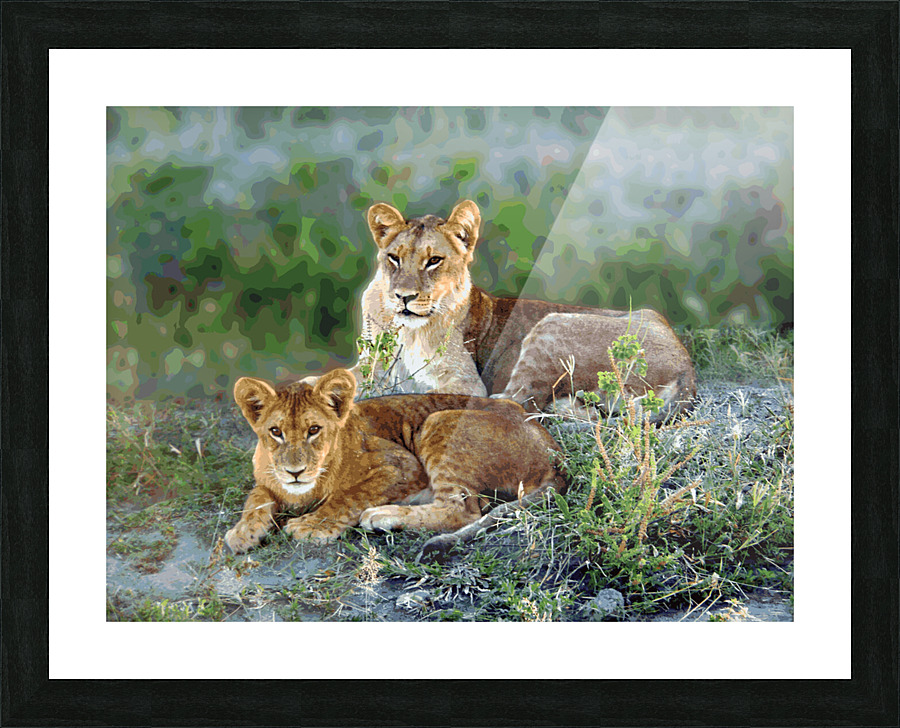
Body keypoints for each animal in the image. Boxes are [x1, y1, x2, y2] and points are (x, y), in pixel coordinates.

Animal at [225, 368, 565, 555]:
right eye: (275, 432)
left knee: (462, 510)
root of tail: (555, 457)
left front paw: (312, 525)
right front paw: (243, 532)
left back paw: (382, 516)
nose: (295, 472)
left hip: (439, 420)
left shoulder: (402, 465)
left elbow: (348, 496)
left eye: (314, 430)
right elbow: (256, 499)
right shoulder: (265, 480)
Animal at [357, 200, 696, 419]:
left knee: (518, 401)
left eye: (434, 261)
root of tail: (687, 372)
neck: (405, 331)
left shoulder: (467, 382)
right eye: (394, 258)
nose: (403, 297)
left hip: (553, 324)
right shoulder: (368, 366)